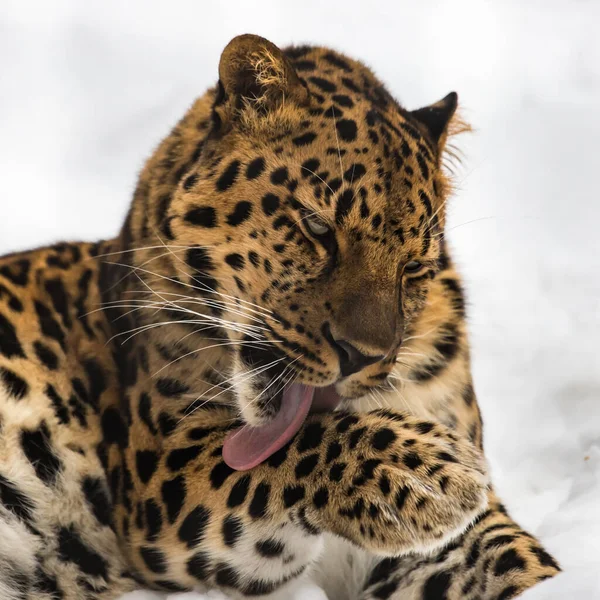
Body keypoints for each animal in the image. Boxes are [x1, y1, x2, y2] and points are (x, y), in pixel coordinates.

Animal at [1, 34, 564, 600]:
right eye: (317, 228)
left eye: (413, 267)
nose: (361, 357)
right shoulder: (160, 475)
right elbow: (301, 442)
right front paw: (431, 474)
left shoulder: (453, 544)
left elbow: (514, 556)